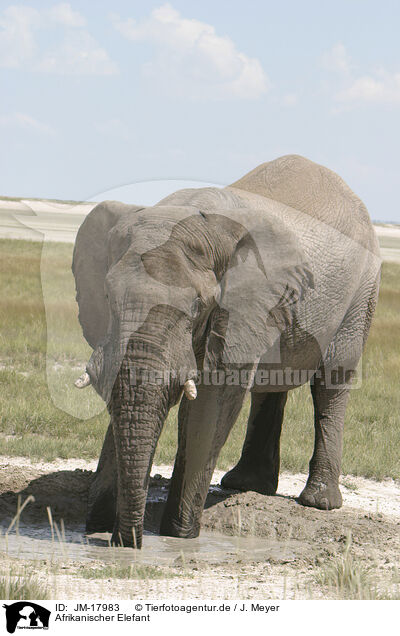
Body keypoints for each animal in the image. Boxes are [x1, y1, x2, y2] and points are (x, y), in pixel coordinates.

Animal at [72, 153, 382, 548]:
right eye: (108, 297)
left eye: (196, 307)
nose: (124, 541)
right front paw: (98, 524)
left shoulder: (236, 307)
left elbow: (213, 401)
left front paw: (179, 537)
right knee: (270, 385)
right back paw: (245, 485)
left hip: (362, 291)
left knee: (333, 381)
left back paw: (318, 502)